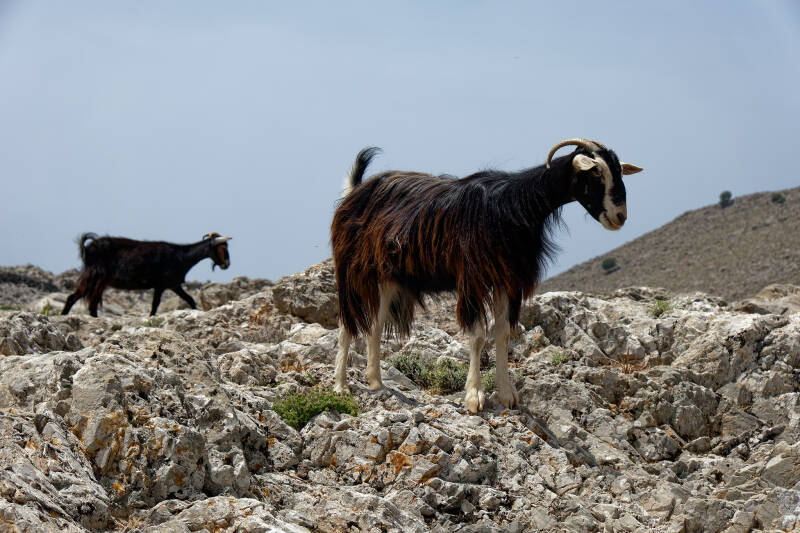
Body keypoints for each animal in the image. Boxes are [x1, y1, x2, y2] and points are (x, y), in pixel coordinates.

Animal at [61, 232, 232, 317]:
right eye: (222, 248)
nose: (227, 264)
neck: (182, 256)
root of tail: (87, 247)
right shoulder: (163, 284)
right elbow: (155, 304)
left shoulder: (172, 285)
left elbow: (189, 300)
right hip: (94, 276)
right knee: (73, 297)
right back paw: (63, 316)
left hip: (100, 282)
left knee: (92, 302)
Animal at [331, 139, 642, 413]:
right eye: (596, 171)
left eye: (618, 170)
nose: (620, 216)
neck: (513, 206)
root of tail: (355, 191)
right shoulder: (472, 279)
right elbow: (478, 336)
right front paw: (474, 397)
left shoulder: (506, 280)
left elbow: (502, 333)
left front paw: (506, 394)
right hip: (351, 270)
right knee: (346, 323)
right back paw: (340, 386)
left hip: (388, 278)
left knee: (374, 323)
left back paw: (375, 381)